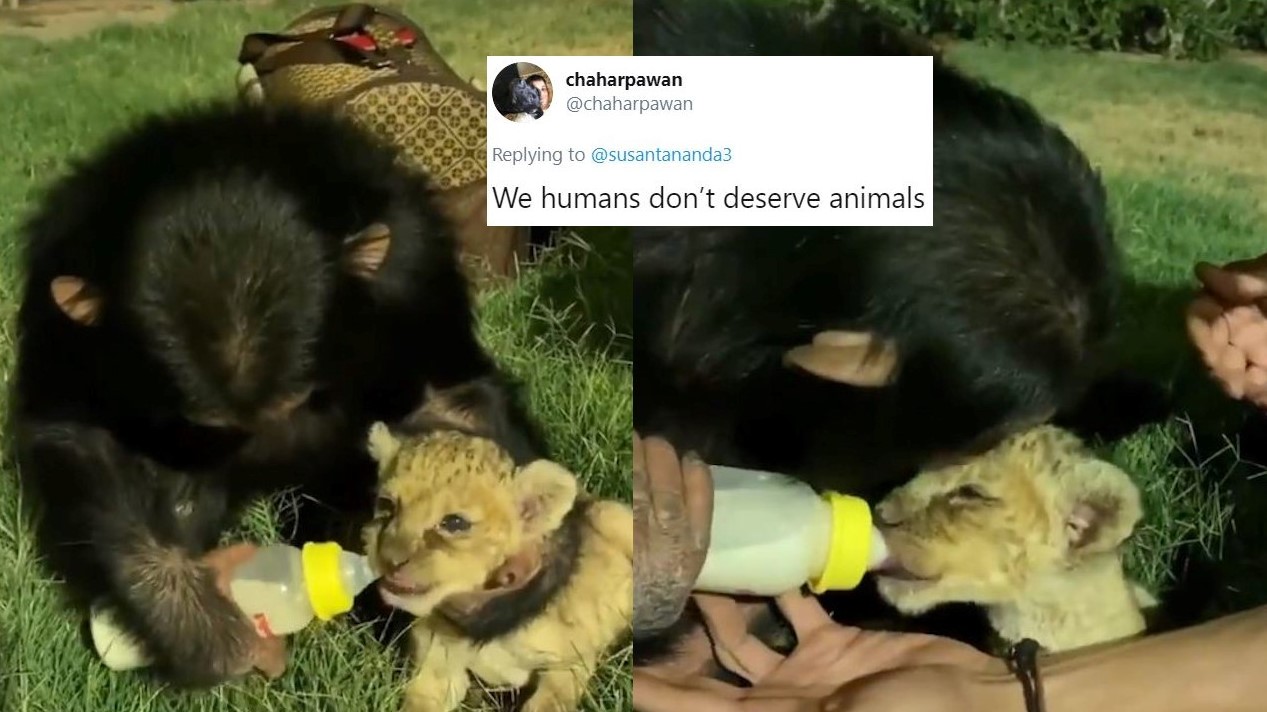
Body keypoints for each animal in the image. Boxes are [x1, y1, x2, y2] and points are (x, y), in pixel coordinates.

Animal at [11, 100, 544, 684]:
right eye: (208, 430)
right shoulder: (58, 302)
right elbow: (82, 433)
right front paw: (190, 614)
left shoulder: (415, 266)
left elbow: (447, 399)